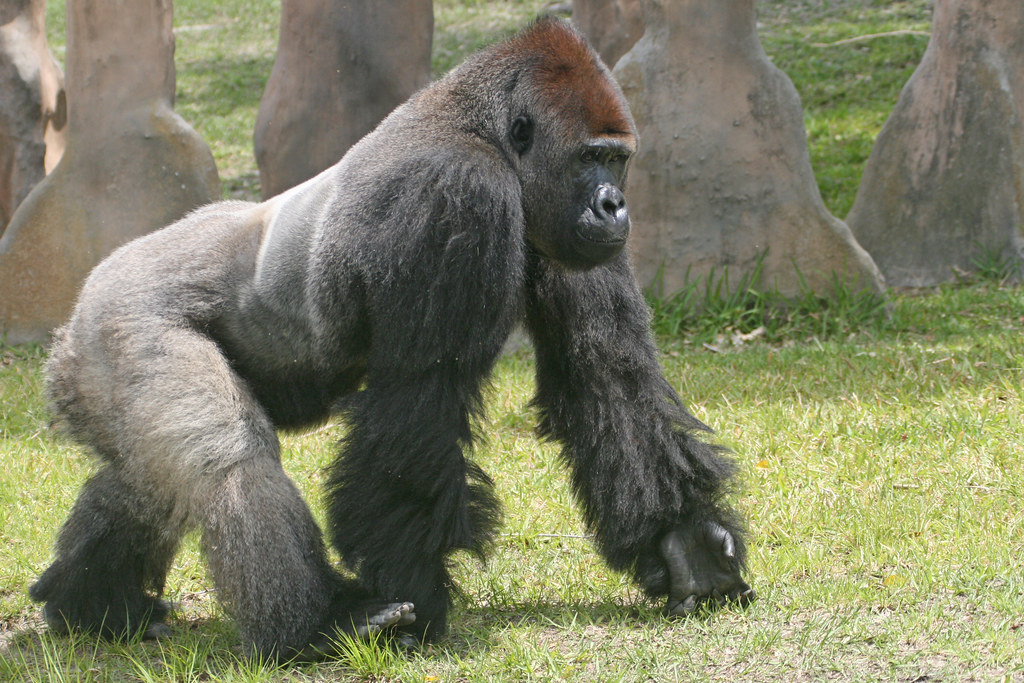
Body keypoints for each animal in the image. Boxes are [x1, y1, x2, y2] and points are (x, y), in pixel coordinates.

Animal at [30, 17, 754, 661]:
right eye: (589, 157)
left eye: (617, 159)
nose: (615, 206)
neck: (483, 128)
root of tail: (70, 321)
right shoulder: (458, 195)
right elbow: (416, 407)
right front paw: (416, 592)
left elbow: (605, 377)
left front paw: (682, 542)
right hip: (124, 316)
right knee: (227, 458)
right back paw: (314, 624)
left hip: (95, 365)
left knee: (145, 478)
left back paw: (91, 601)